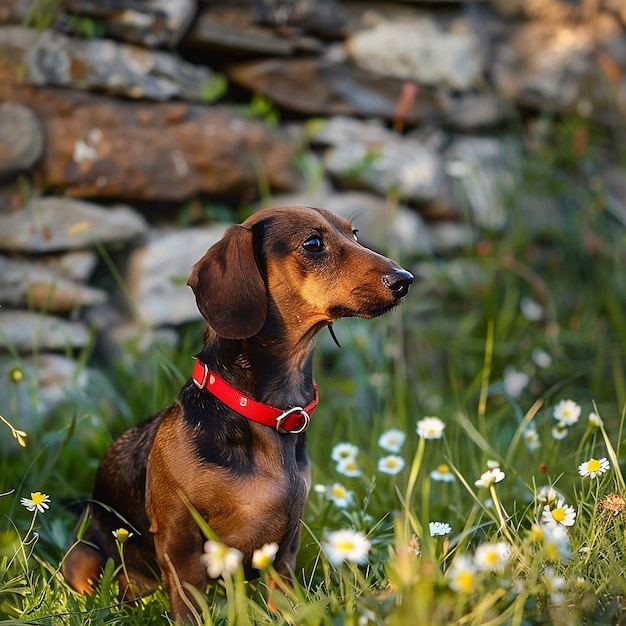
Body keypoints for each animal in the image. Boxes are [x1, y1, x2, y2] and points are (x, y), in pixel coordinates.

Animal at [61, 205, 412, 620]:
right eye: (313, 243)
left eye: (353, 234)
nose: (405, 279)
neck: (267, 414)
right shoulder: (180, 539)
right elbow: (189, 606)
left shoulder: (284, 547)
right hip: (84, 558)